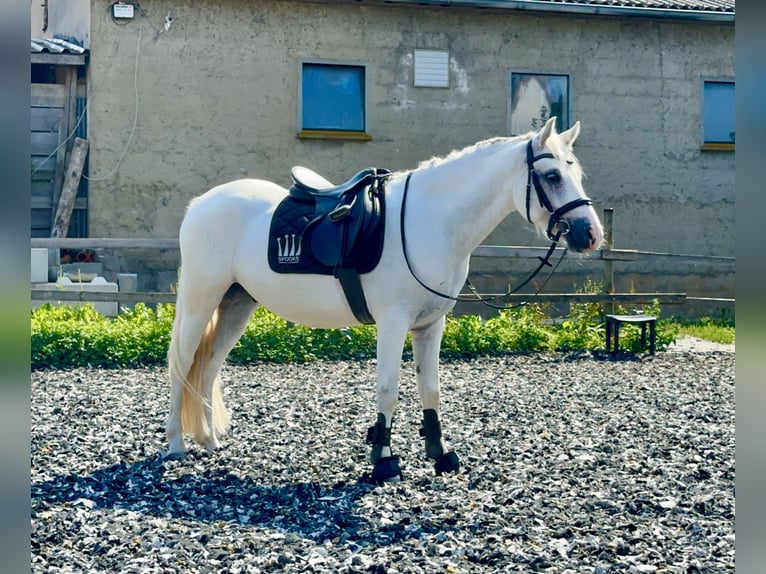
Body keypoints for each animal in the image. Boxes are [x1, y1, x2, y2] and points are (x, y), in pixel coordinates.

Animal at [166, 119, 608, 484]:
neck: (429, 220)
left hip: (236, 304)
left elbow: (430, 390)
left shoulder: (431, 325)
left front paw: (441, 456)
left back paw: (210, 442)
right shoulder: (393, 323)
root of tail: (200, 204)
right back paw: (176, 445)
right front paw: (384, 461)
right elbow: (388, 390)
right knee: (182, 365)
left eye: (577, 173)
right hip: (200, 301)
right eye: (552, 175)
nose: (591, 235)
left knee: (207, 369)